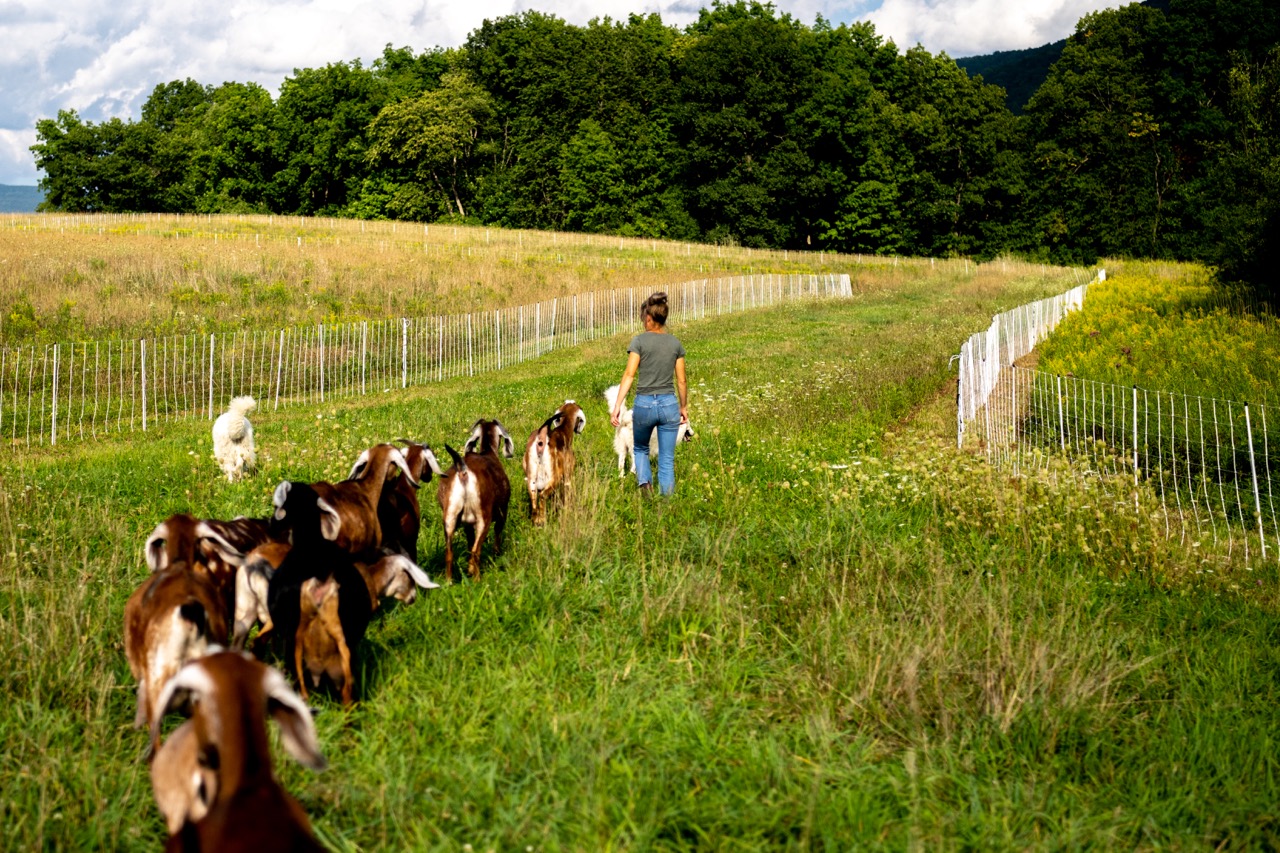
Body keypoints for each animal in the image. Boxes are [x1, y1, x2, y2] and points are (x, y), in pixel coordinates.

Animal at [437, 420, 512, 581]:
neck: (488, 452)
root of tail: (463, 471)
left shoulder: (467, 525)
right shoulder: (503, 512)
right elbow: (497, 536)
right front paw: (496, 556)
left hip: (449, 519)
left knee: (450, 554)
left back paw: (449, 581)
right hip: (483, 519)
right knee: (475, 553)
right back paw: (477, 579)